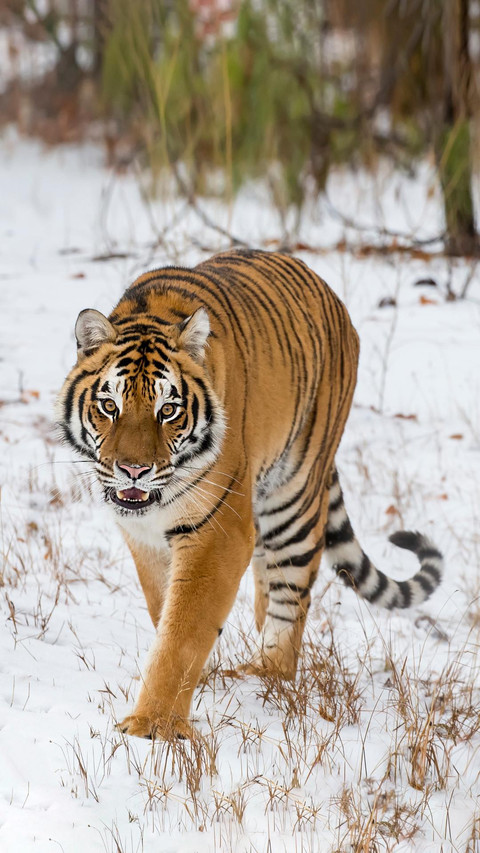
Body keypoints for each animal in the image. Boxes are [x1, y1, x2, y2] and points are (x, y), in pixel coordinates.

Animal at [57, 249, 443, 740]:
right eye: (110, 406)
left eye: (168, 410)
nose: (134, 470)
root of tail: (328, 291)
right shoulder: (144, 538)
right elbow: (164, 609)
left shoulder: (217, 530)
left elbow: (184, 630)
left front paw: (153, 725)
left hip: (292, 497)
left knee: (292, 594)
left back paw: (268, 675)